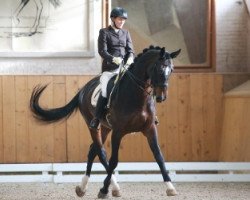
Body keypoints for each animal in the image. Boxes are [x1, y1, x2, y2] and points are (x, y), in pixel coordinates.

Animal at [30, 45, 181, 198]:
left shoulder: (150, 128)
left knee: (93, 151)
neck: (137, 96)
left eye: (171, 70)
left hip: (105, 127)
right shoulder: (118, 131)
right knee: (100, 152)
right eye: (159, 68)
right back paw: (109, 187)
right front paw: (103, 189)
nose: (162, 97)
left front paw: (170, 187)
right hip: (93, 125)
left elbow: (159, 156)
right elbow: (113, 161)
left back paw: (84, 187)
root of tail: (83, 89)